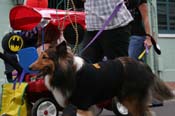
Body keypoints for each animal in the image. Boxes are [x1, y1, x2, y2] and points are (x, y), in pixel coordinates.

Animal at [29, 41, 174, 116]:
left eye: (45, 57)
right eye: (40, 55)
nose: (29, 67)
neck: (68, 72)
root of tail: (144, 66)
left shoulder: (82, 106)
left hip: (132, 100)